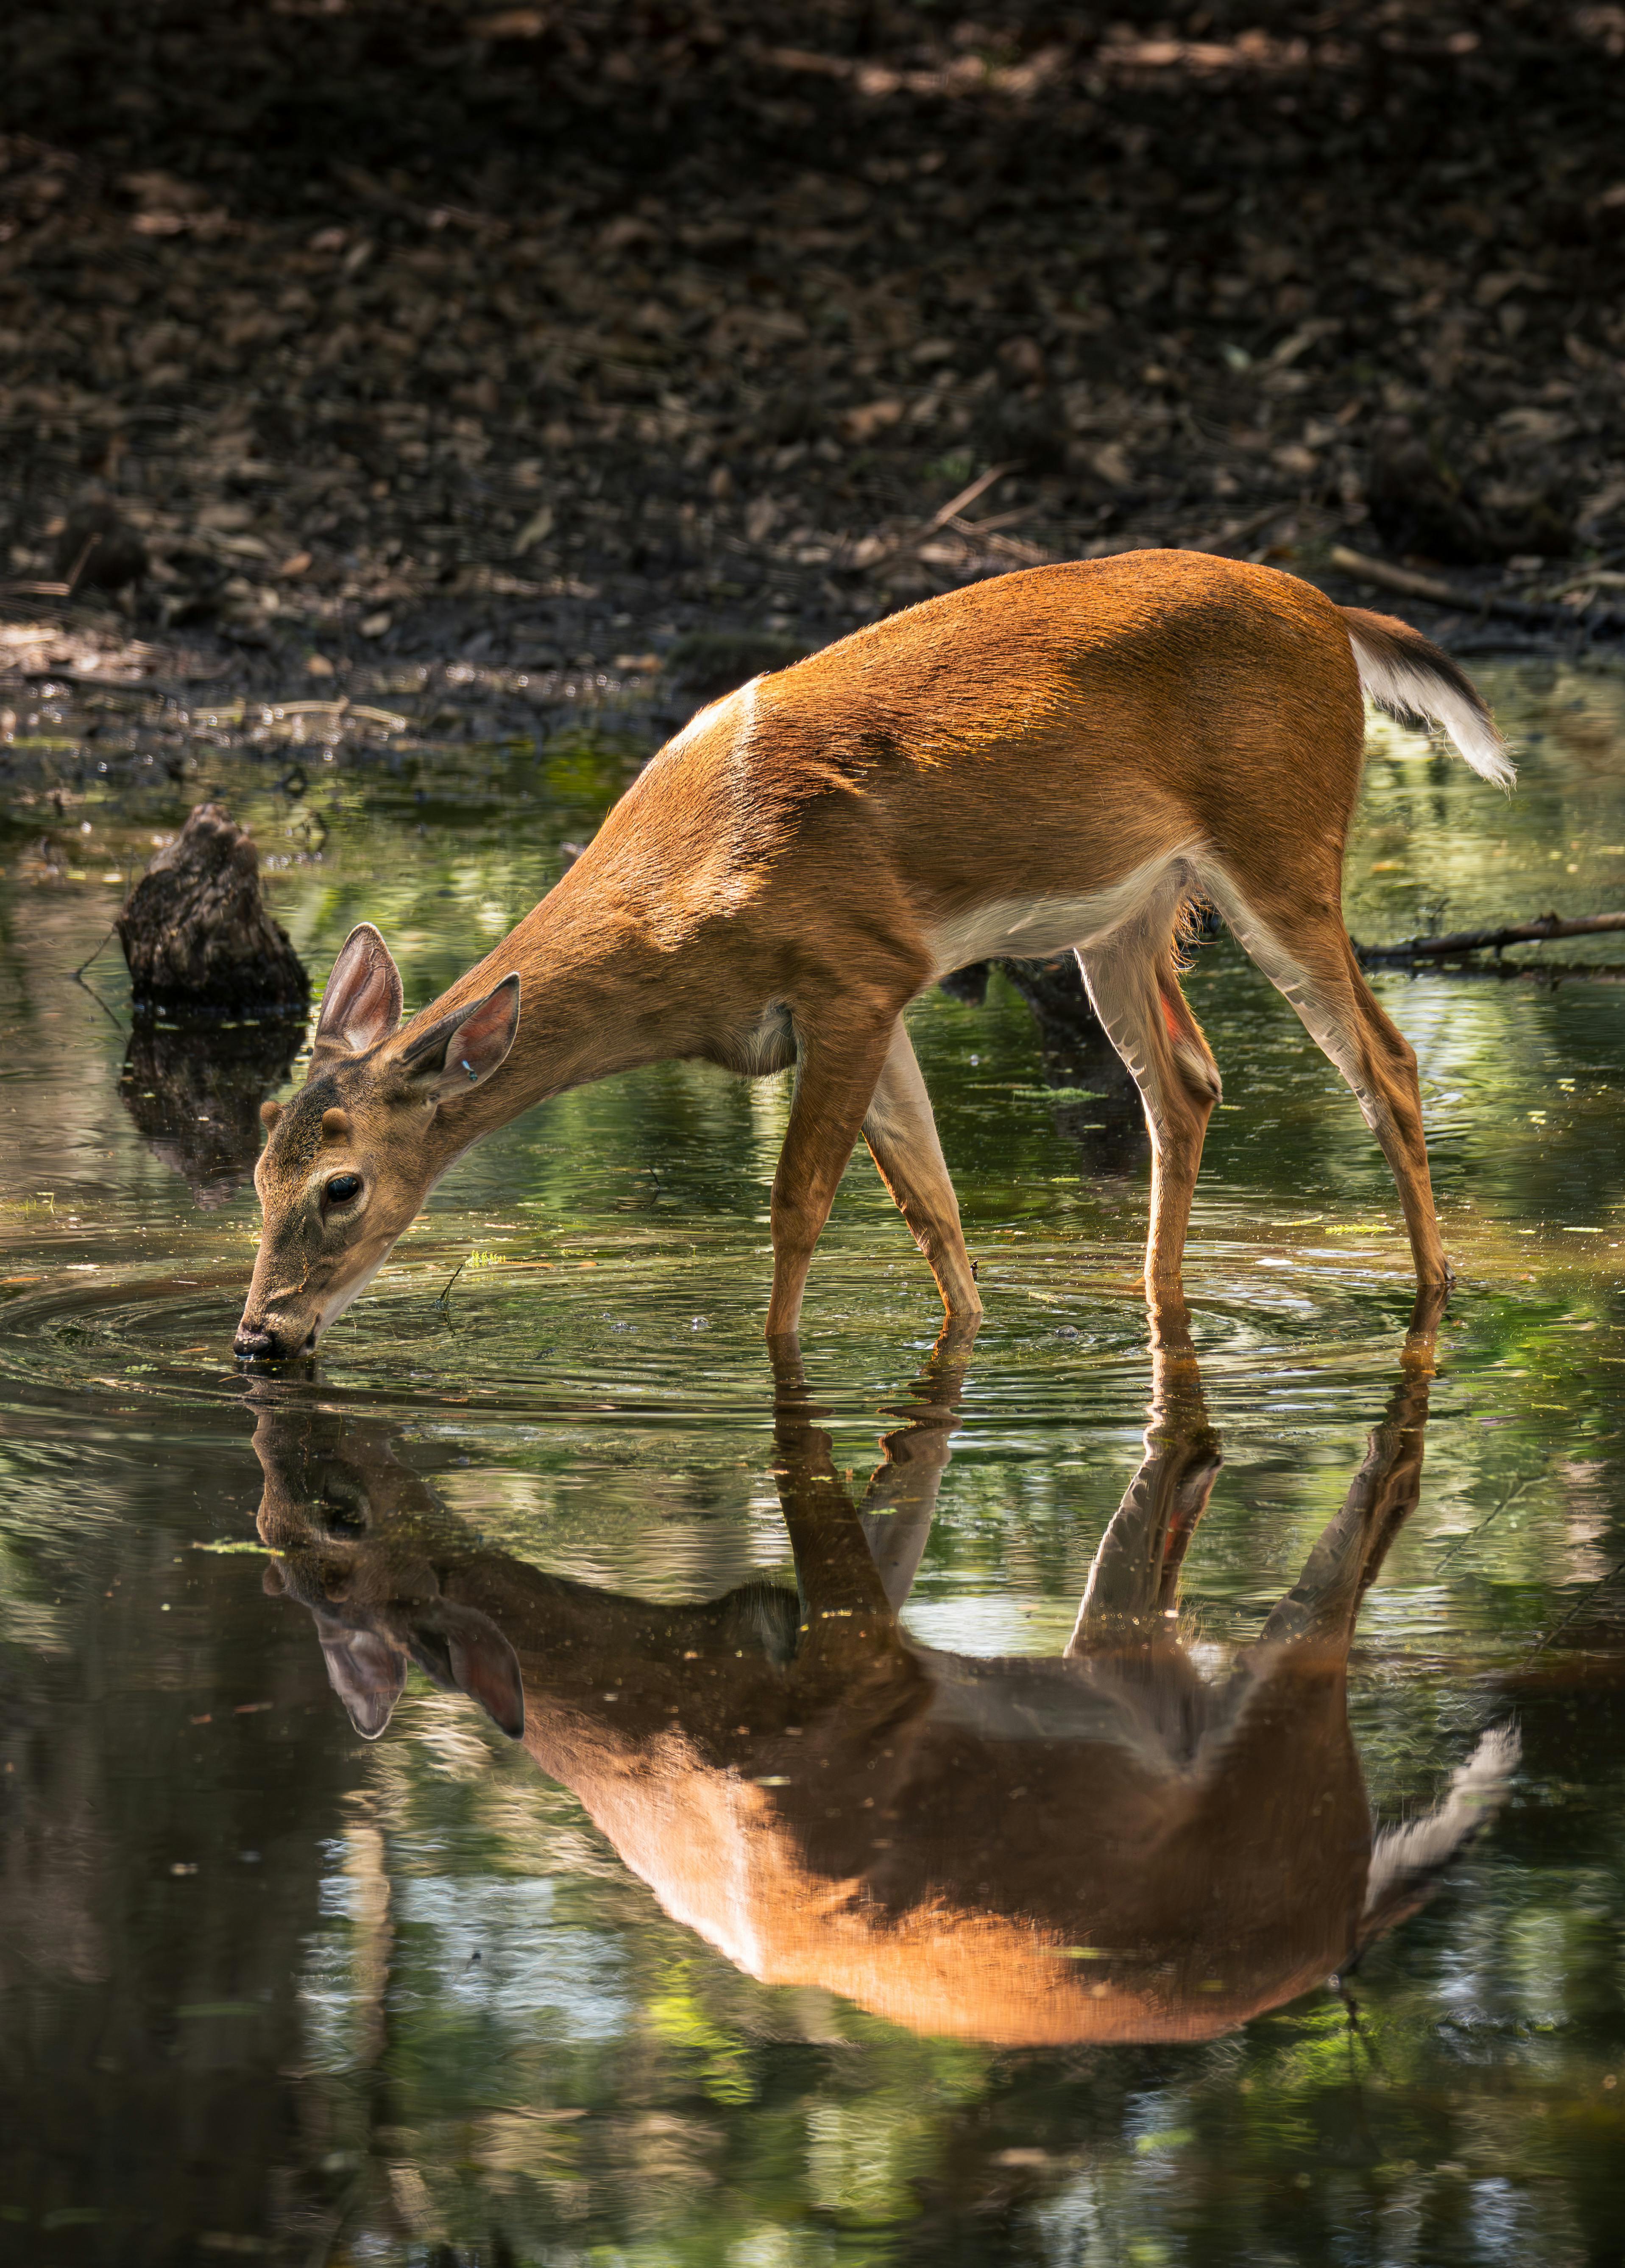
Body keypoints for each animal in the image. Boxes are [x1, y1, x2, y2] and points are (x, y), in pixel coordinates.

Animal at [233, 550, 1511, 1360]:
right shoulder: (870, 993)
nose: (259, 1336)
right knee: (1185, 1080)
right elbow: (931, 1206)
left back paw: (1433, 1297)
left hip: (1282, 847)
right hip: (1124, 916)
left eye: (341, 1185)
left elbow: (800, 1203)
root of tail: (1337, 615)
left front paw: (777, 1361)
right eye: (256, 1168)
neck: (686, 895)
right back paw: (1158, 1306)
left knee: (1384, 1062)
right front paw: (971, 1334)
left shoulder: (853, 970)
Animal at [252, 1294, 1516, 2047]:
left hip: (1286, 1727)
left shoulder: (861, 1665)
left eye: (336, 1525)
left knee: (1366, 1530)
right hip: (1139, 1662)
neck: (672, 1728)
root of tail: (1341, 1916)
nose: (265, 1363)